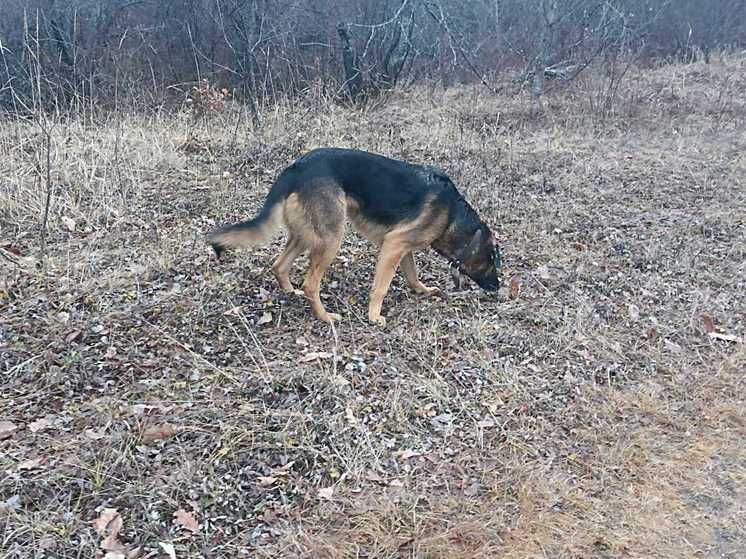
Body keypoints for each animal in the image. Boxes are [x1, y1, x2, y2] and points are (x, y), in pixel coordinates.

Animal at [206, 147, 502, 326]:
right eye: (492, 262)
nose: (498, 289)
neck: (453, 215)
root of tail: (295, 168)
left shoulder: (403, 248)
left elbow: (412, 275)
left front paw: (423, 290)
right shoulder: (393, 245)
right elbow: (380, 287)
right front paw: (374, 316)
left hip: (307, 235)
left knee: (279, 265)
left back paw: (290, 292)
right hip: (331, 239)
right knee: (310, 284)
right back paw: (325, 317)